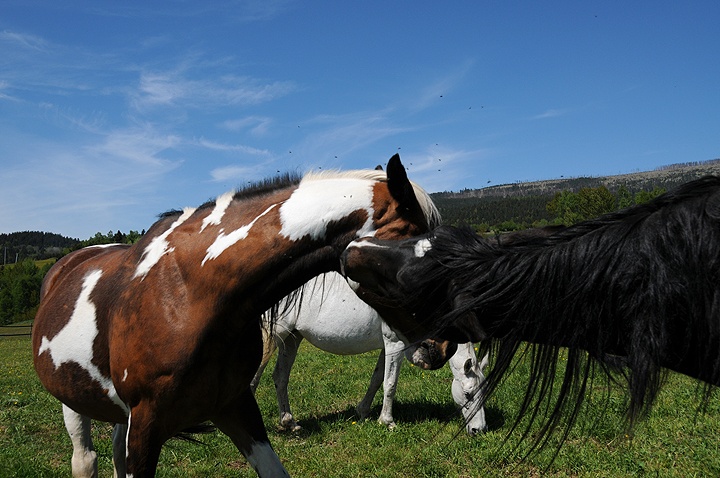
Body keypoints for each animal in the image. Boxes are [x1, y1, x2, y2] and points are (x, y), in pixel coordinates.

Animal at [32, 155, 438, 476]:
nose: (439, 347)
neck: (189, 293)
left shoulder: (234, 405)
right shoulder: (146, 425)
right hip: (75, 401)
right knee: (86, 460)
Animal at [252, 270, 490, 436]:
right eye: (468, 394)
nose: (479, 430)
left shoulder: (387, 347)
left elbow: (377, 379)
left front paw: (364, 411)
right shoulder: (394, 344)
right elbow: (390, 384)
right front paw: (387, 421)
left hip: (292, 339)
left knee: (280, 377)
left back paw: (289, 422)